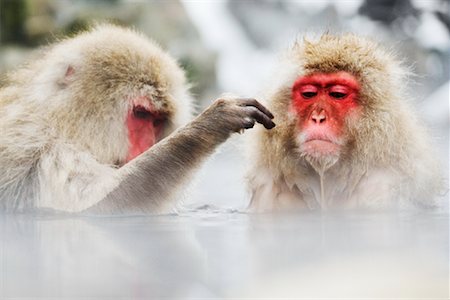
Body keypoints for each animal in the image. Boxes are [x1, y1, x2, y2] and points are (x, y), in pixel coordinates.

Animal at [0, 24, 274, 214]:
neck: (61, 123)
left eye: (158, 120)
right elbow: (97, 206)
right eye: (141, 114)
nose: (148, 143)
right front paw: (211, 123)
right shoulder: (45, 151)